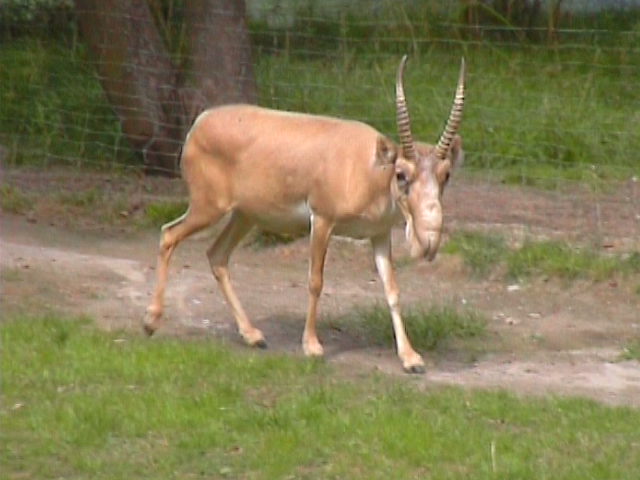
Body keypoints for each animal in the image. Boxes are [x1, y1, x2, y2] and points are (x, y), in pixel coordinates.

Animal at [145, 55, 464, 372]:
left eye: (446, 174)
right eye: (401, 174)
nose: (428, 242)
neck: (368, 168)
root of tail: (200, 122)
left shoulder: (379, 234)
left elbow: (392, 291)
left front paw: (411, 359)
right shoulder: (322, 220)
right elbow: (315, 281)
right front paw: (312, 346)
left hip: (244, 215)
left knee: (217, 255)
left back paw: (254, 336)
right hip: (208, 207)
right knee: (169, 234)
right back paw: (150, 322)